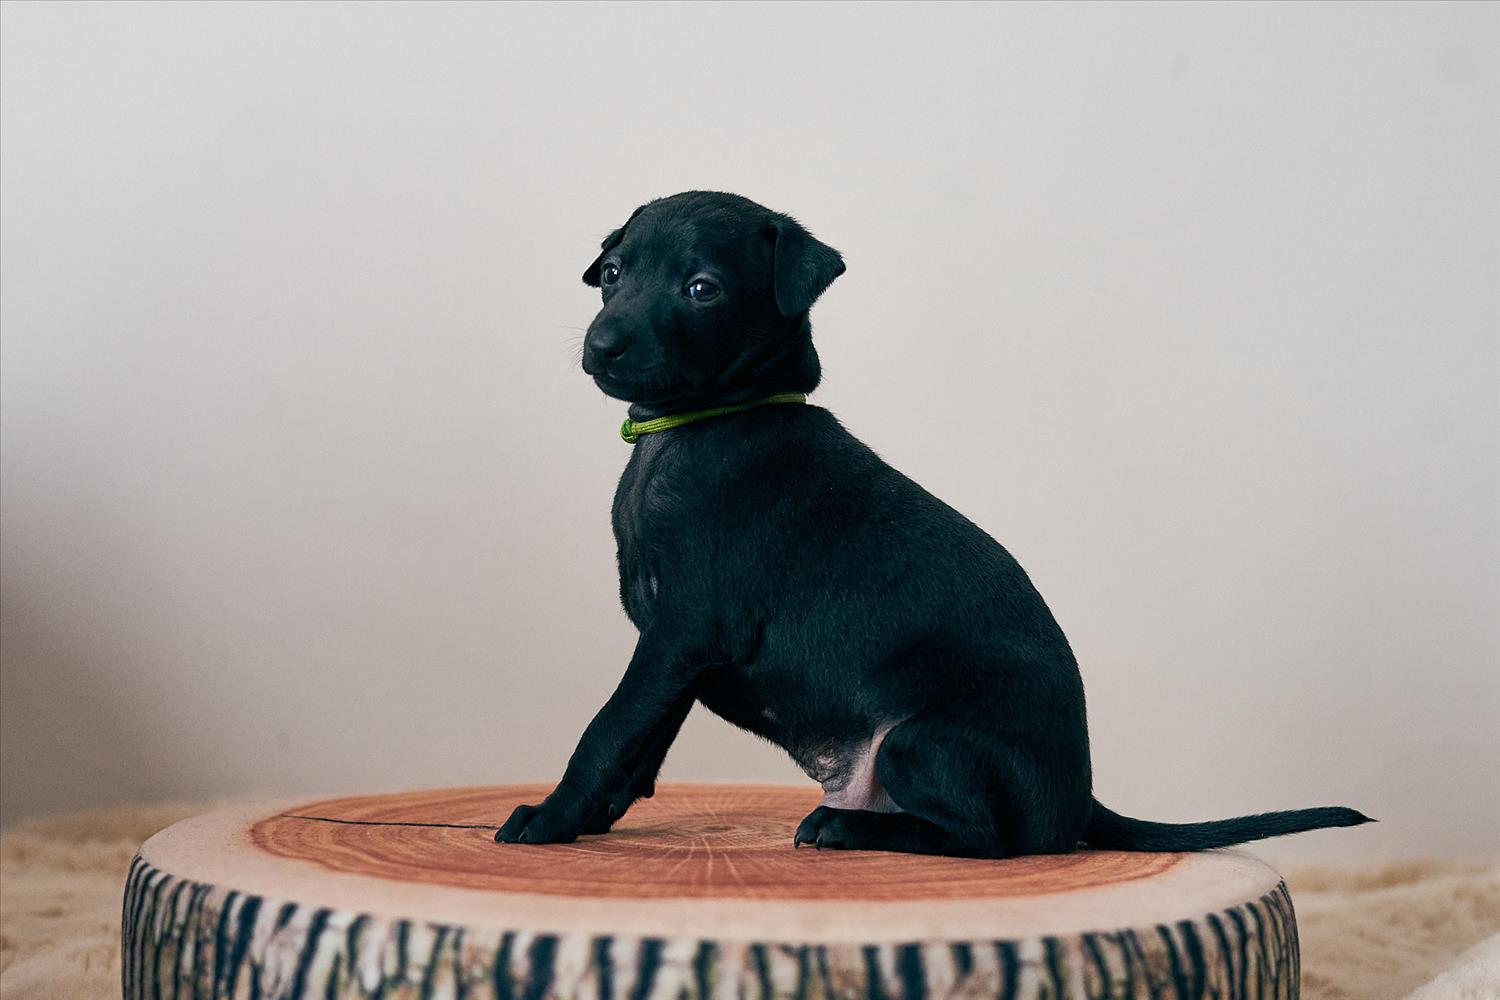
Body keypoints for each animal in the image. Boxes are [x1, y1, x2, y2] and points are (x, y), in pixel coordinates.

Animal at [496, 191, 1371, 856]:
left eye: (702, 288)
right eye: (611, 276)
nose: (602, 344)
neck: (698, 426)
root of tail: (1080, 796)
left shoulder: (682, 632)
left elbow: (608, 728)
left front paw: (549, 816)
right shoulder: (676, 653)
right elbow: (641, 744)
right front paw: (589, 817)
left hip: (921, 741)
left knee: (994, 839)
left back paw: (845, 827)